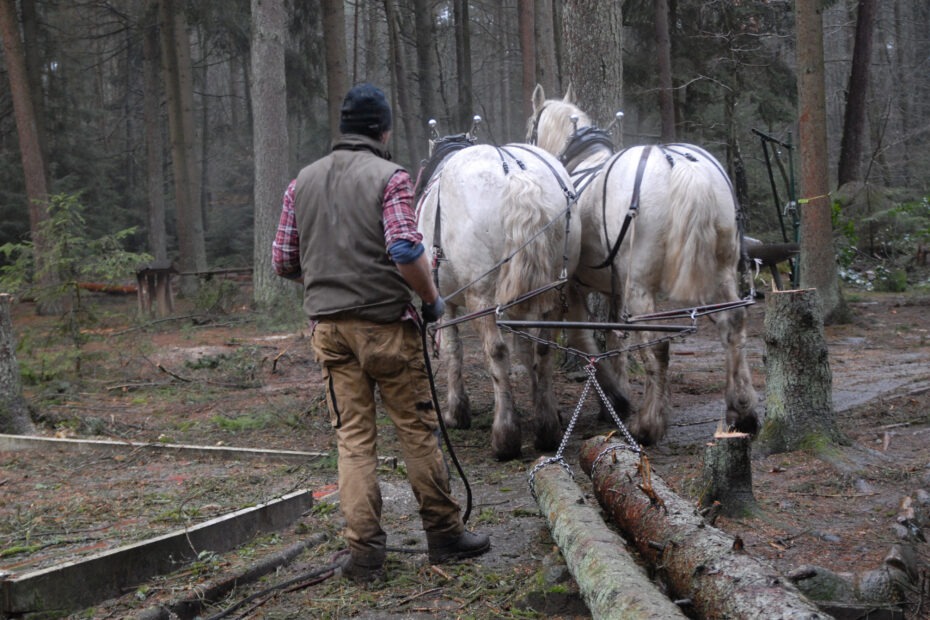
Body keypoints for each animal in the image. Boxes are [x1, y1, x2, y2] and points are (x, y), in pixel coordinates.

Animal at [415, 131, 629, 461]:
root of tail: (516, 174)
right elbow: (527, 350)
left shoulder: (446, 300)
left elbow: (454, 350)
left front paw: (456, 411)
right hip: (553, 290)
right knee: (545, 347)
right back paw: (548, 429)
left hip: (482, 296)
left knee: (497, 352)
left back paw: (505, 436)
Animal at [526, 84, 759, 446]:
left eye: (530, 129)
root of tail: (683, 167)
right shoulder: (615, 289)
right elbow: (615, 341)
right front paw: (610, 403)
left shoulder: (574, 287)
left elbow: (584, 338)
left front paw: (617, 399)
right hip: (720, 271)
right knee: (733, 325)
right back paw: (742, 411)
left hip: (641, 284)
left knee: (659, 344)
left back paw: (649, 425)